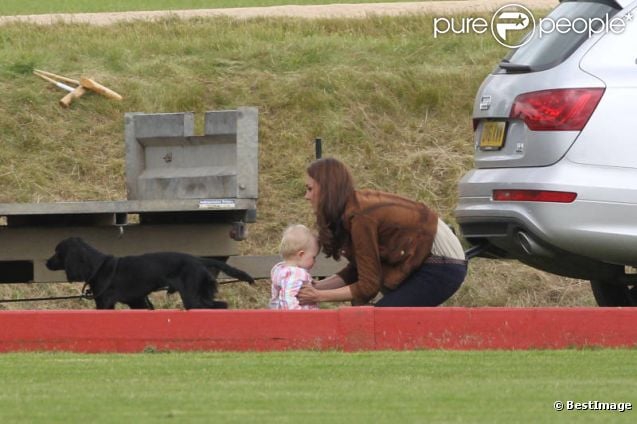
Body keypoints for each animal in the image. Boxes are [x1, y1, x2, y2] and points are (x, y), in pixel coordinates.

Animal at [45, 237, 253, 310]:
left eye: (57, 252)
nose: (46, 263)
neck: (97, 265)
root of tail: (199, 259)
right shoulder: (138, 301)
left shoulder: (105, 302)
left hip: (192, 297)